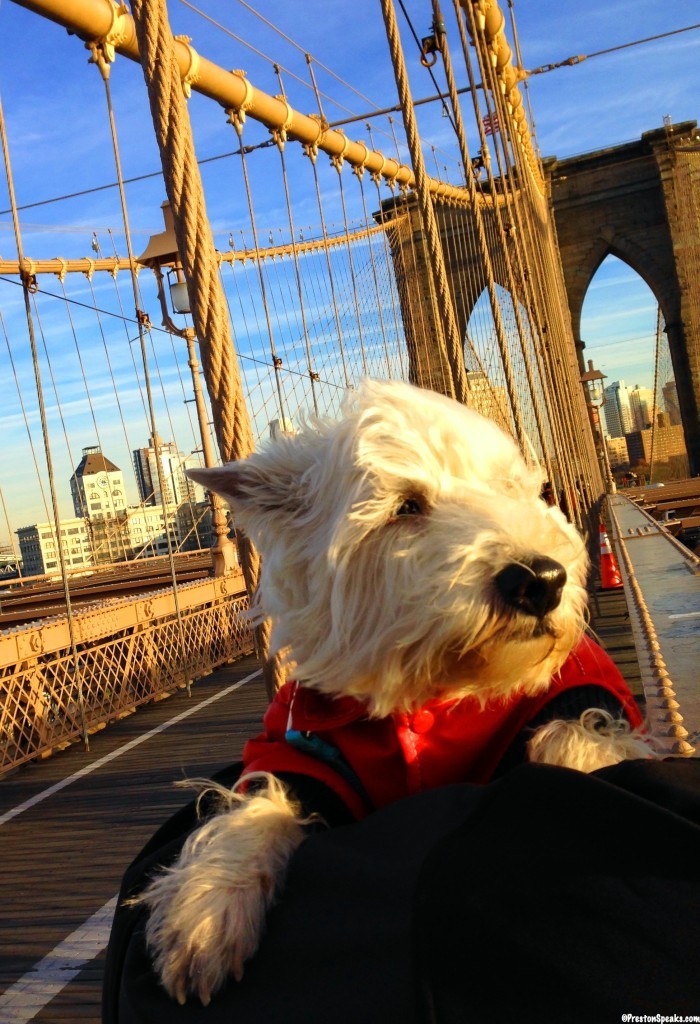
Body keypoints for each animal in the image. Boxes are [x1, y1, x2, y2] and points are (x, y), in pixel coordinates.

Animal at [139, 380, 646, 1003]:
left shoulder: (578, 693)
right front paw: (208, 909)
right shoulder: (297, 751)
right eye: (406, 506)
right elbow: (259, 802)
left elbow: (577, 742)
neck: (427, 693)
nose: (542, 580)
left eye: (512, 488)